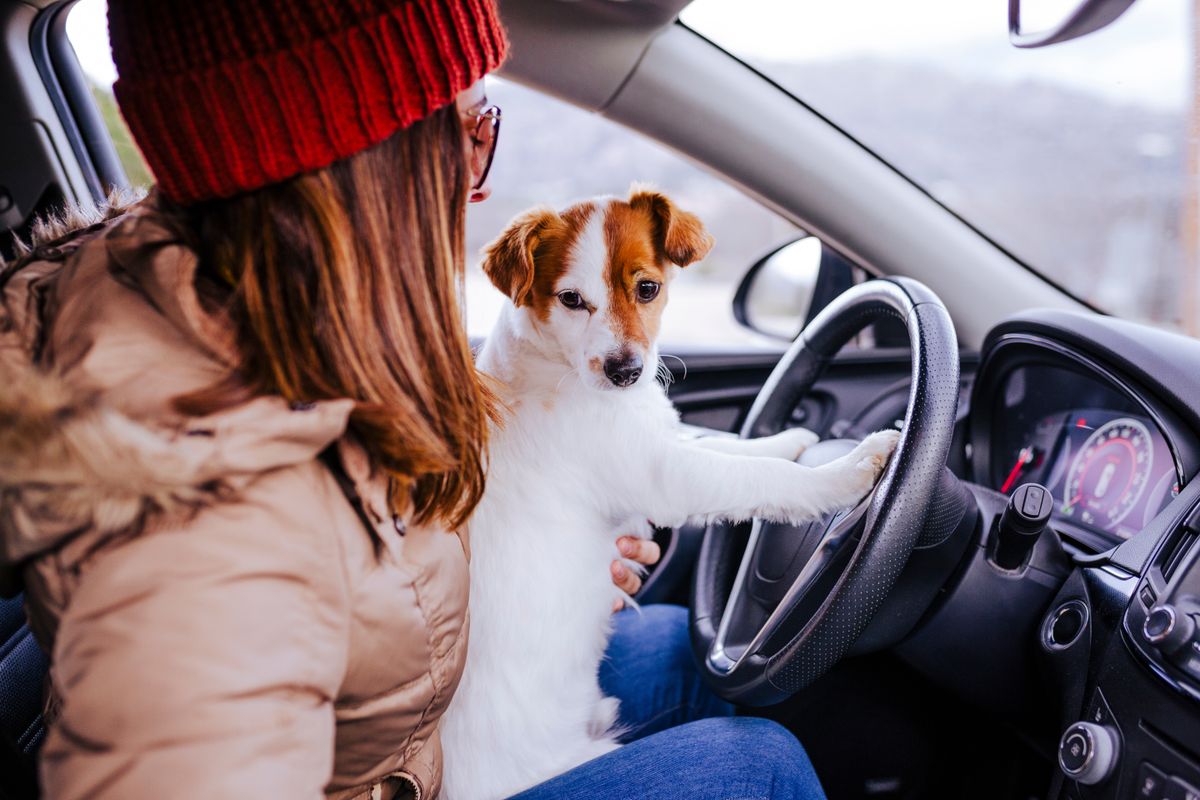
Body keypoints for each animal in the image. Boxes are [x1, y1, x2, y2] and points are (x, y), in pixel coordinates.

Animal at [441, 189, 902, 800]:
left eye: (647, 288)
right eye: (571, 299)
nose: (625, 372)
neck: (557, 368)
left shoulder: (666, 441)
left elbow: (739, 448)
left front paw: (796, 438)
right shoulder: (665, 474)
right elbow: (762, 479)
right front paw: (850, 468)